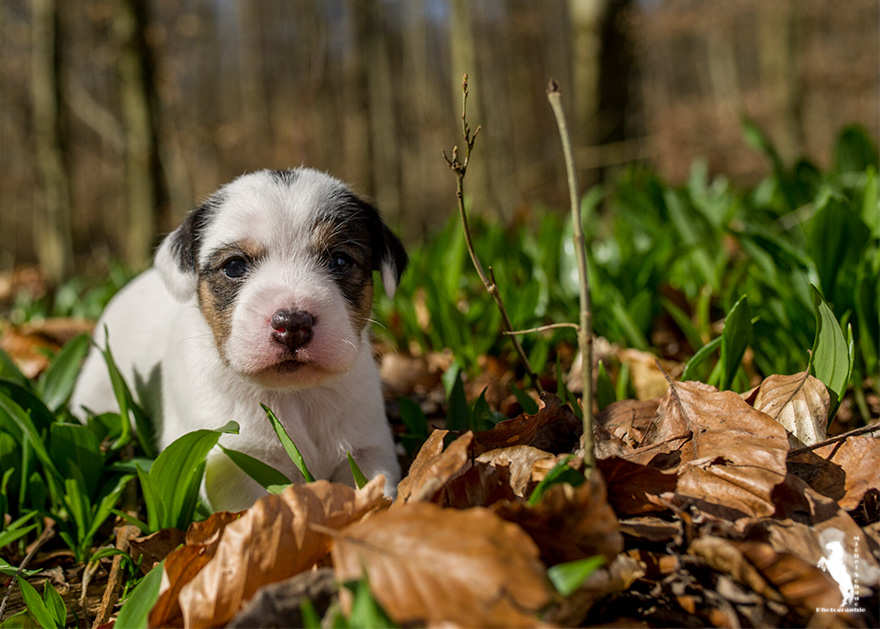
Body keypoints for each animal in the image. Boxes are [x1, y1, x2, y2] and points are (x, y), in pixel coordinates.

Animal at [70, 167, 408, 510]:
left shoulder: (368, 452)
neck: (294, 394)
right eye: (234, 266)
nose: (292, 324)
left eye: (340, 261)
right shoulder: (233, 463)